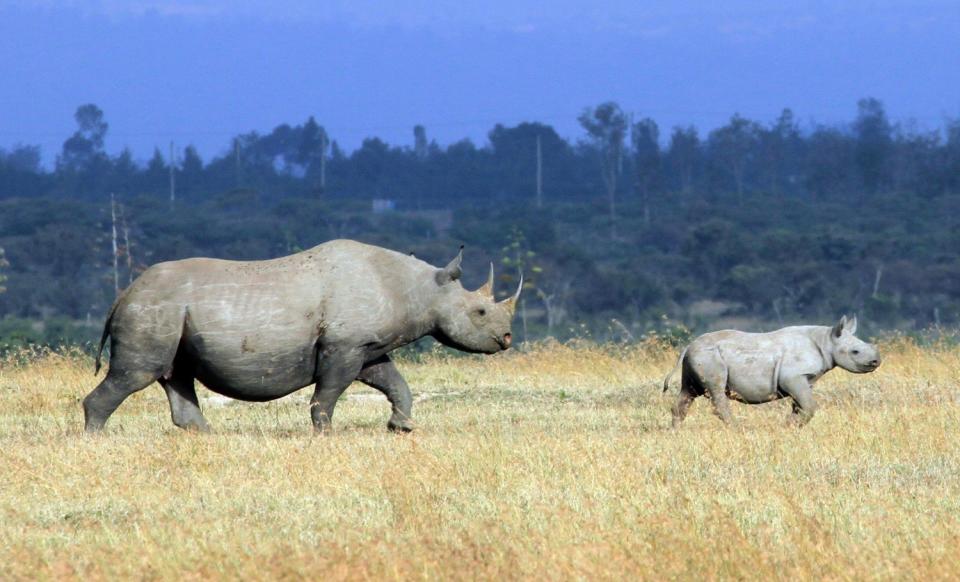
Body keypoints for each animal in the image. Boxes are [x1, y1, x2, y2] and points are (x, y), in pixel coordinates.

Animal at [84, 240, 516, 436]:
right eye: (479, 313)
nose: (507, 338)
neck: (419, 289)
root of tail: (123, 294)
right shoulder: (343, 347)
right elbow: (329, 392)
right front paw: (325, 433)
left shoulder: (367, 347)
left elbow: (394, 382)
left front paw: (402, 427)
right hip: (154, 307)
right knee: (137, 373)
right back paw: (96, 441)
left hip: (168, 310)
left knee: (174, 372)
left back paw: (208, 437)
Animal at [664, 320, 880, 428]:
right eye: (855, 352)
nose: (876, 361)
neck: (826, 340)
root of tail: (689, 345)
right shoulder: (793, 376)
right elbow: (809, 406)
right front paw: (789, 426)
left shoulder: (803, 379)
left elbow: (800, 405)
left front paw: (790, 425)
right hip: (710, 357)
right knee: (715, 390)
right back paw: (738, 429)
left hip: (698, 357)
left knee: (688, 392)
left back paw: (676, 431)